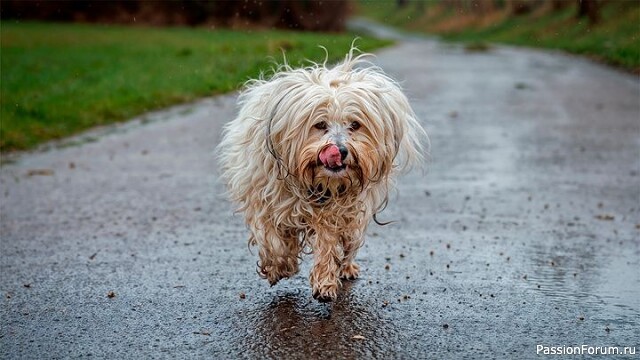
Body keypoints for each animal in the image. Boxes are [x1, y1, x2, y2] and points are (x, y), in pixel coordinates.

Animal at [218, 47, 428, 300]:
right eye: (319, 124)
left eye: (355, 125)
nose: (340, 151)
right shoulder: (263, 196)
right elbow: (272, 237)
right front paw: (280, 266)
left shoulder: (336, 212)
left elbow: (328, 241)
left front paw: (325, 282)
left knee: (349, 241)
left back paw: (346, 267)